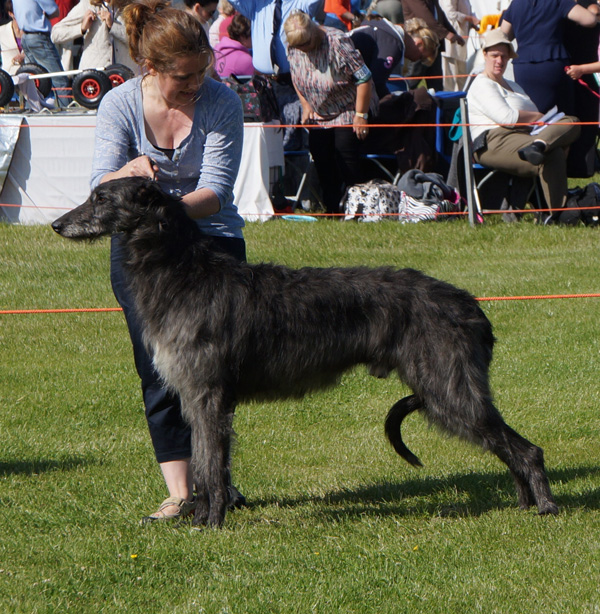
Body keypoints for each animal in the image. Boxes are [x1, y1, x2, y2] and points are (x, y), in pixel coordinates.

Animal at [51, 178, 556, 528]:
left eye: (101, 196)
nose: (57, 224)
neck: (183, 273)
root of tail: (471, 306)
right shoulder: (199, 398)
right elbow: (205, 463)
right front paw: (199, 516)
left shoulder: (207, 394)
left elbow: (211, 465)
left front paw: (210, 523)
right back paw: (523, 503)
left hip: (447, 387)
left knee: (526, 449)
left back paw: (547, 506)